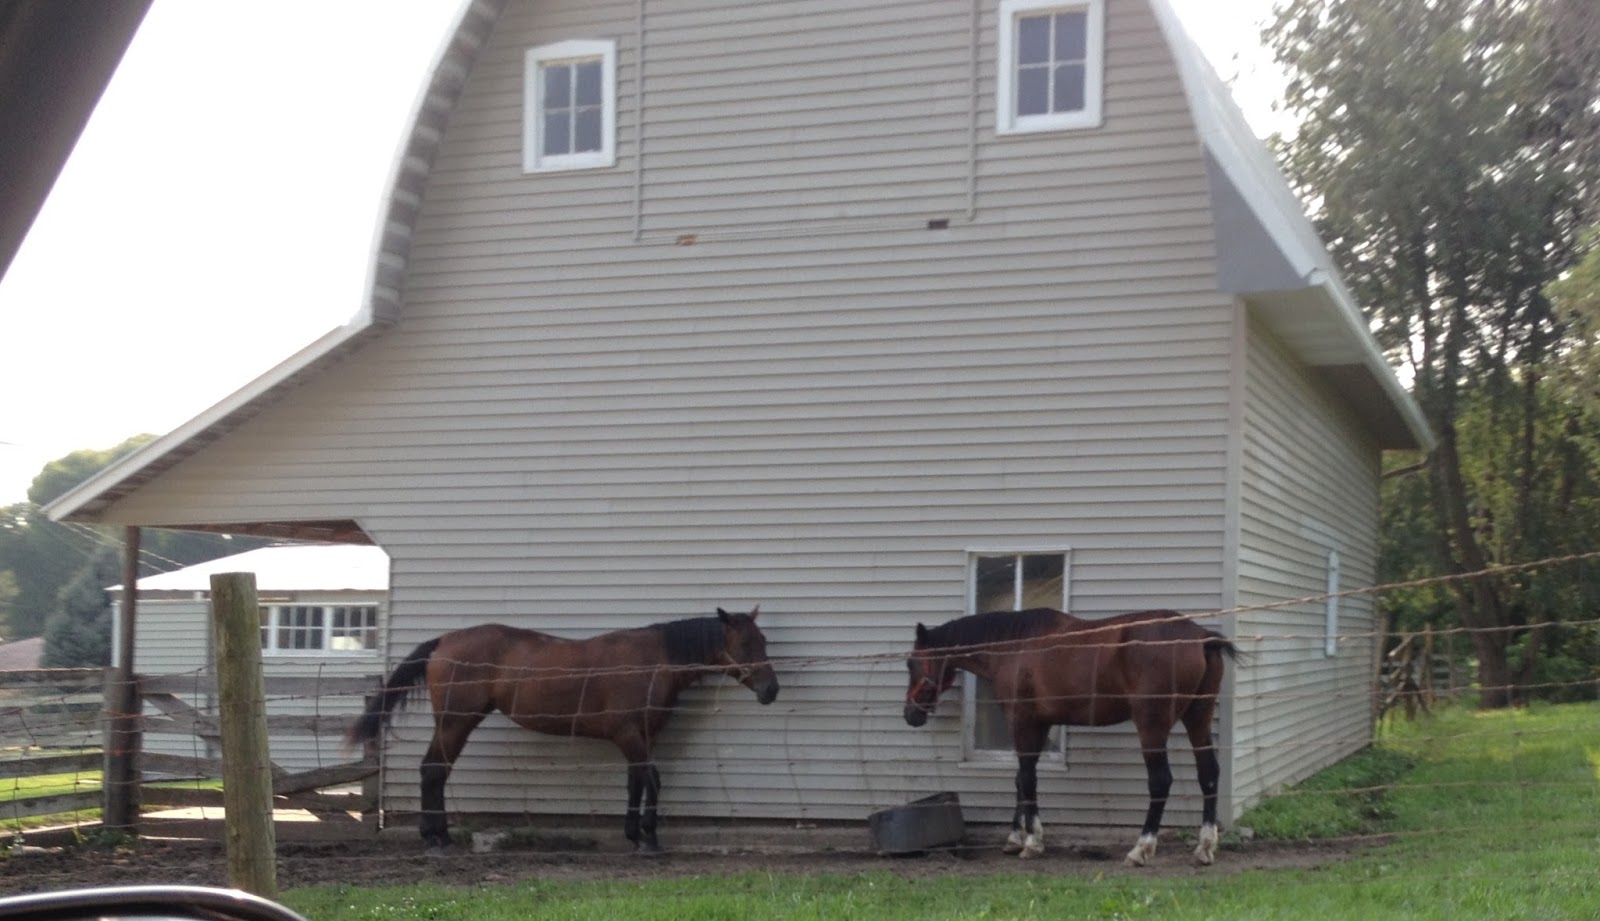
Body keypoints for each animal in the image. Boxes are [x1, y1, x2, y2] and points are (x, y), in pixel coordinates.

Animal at [346, 606, 779, 852]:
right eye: (744, 643)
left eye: (763, 639)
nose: (771, 689)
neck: (654, 660)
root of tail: (443, 641)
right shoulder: (629, 735)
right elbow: (652, 780)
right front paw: (650, 839)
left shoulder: (642, 736)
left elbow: (636, 782)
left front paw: (634, 834)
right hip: (456, 722)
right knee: (434, 770)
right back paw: (436, 839)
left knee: (433, 771)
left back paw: (439, 835)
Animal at [903, 608, 1238, 866]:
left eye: (911, 663)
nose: (910, 714)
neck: (1016, 646)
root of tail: (1200, 636)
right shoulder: (1039, 724)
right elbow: (1021, 778)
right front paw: (1016, 837)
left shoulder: (1022, 722)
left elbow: (1027, 779)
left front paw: (1033, 842)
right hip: (1198, 717)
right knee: (1208, 774)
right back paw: (1205, 847)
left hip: (1151, 725)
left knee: (1160, 781)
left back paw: (1140, 849)